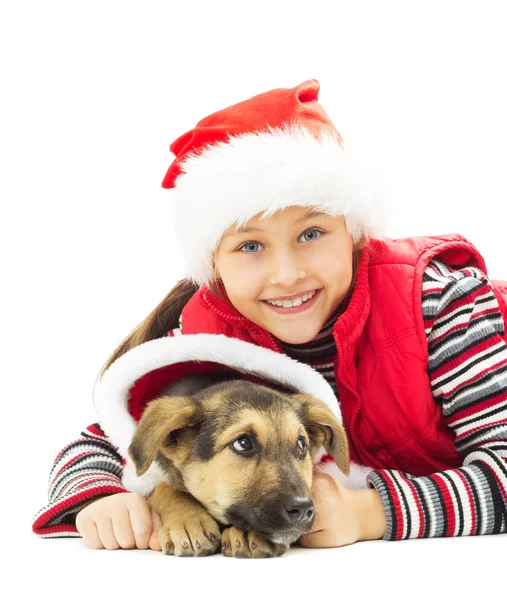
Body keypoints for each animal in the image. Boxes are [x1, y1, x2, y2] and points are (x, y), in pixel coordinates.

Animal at [128, 370, 350, 556]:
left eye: (301, 445)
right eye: (243, 443)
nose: (302, 509)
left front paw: (247, 534)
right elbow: (164, 488)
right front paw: (188, 521)